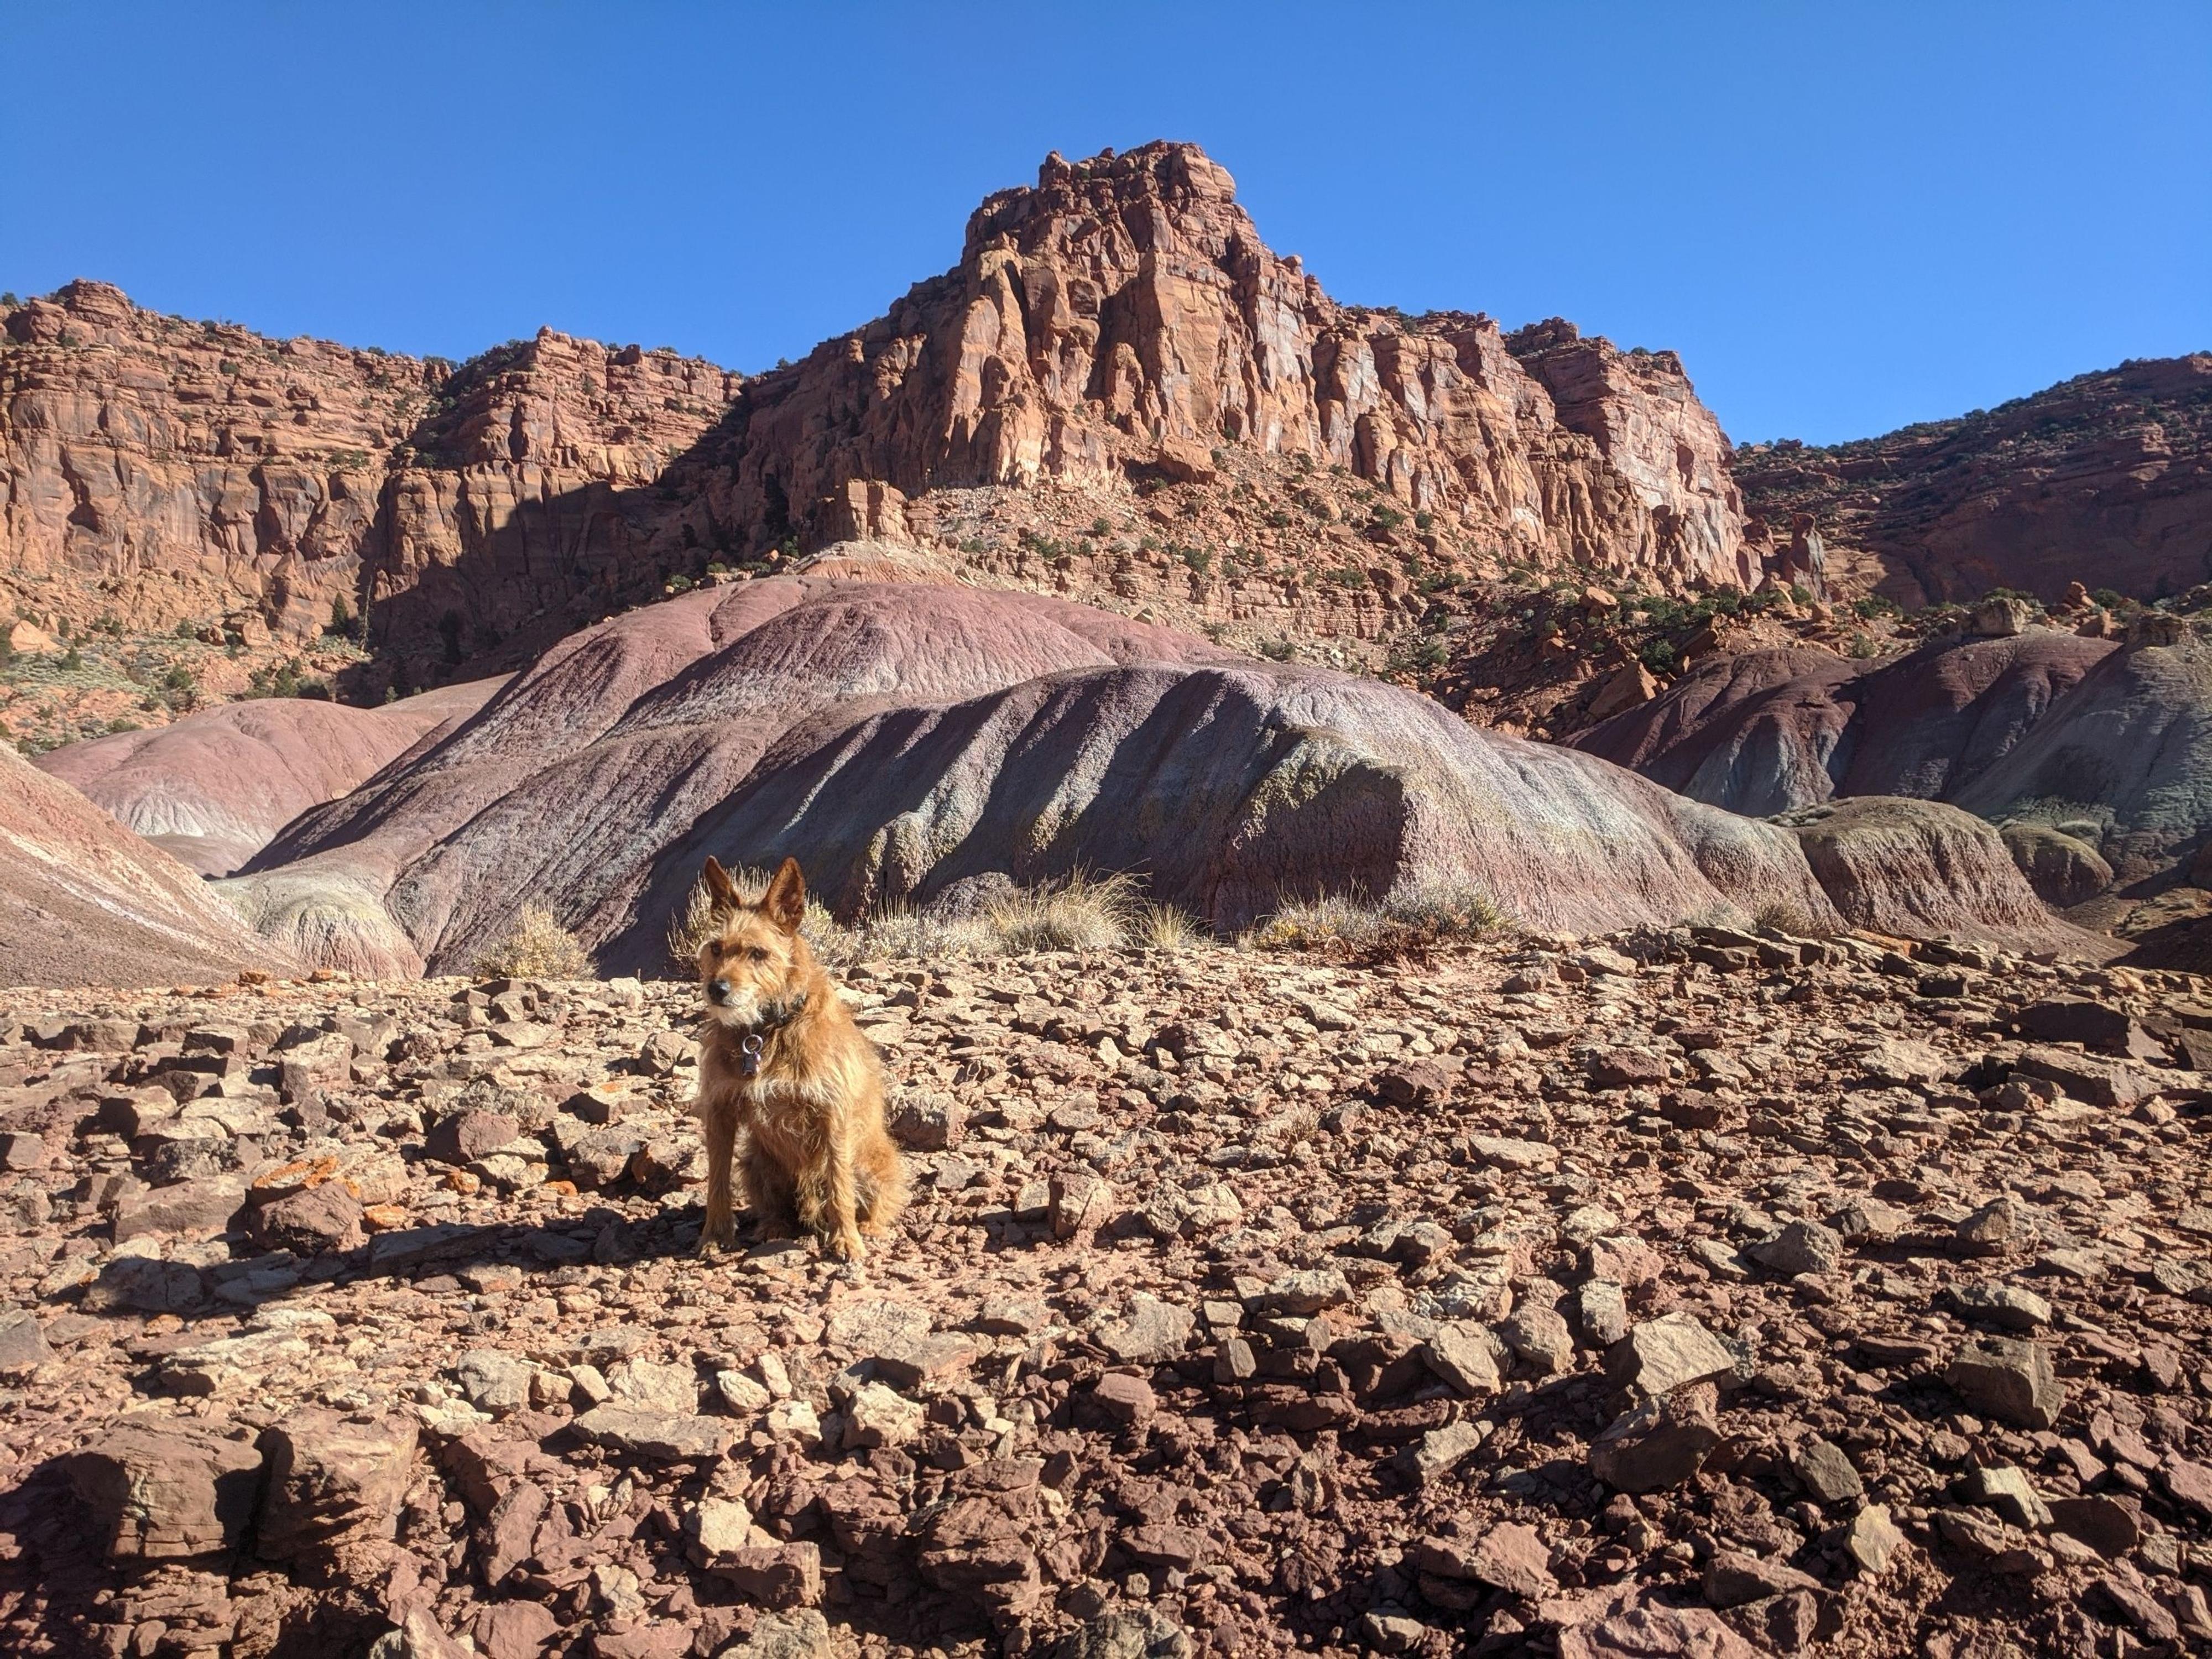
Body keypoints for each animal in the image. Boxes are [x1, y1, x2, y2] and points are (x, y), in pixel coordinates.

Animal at [686, 849, 902, 1265]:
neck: (765, 1031)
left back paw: (868, 1227)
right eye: (716, 948)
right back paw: (774, 1226)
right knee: (775, 1207)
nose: (717, 989)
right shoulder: (720, 1111)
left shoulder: (832, 1115)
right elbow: (717, 1181)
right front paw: (714, 1237)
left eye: (758, 953)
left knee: (871, 1199)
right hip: (757, 1163)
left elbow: (838, 1185)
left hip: (871, 1164)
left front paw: (847, 1241)